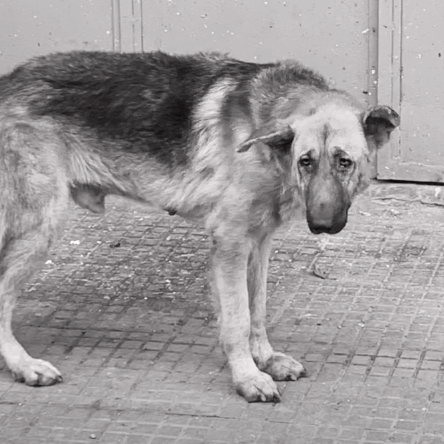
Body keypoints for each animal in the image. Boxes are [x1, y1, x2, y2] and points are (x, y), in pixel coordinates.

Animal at [0, 50, 399, 402]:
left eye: (344, 162)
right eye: (306, 162)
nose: (322, 225)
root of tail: (7, 82)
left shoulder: (257, 243)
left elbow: (257, 310)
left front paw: (265, 359)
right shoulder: (231, 243)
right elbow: (238, 320)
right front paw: (247, 377)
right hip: (42, 224)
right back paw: (23, 365)